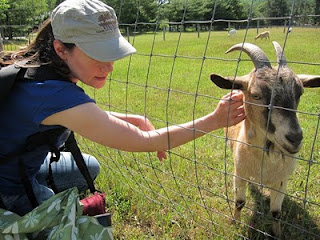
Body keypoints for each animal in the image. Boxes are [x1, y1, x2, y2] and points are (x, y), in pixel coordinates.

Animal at [210, 41, 320, 236]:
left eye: (299, 93)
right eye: (256, 95)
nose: (295, 138)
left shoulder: (281, 181)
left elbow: (276, 212)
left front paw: (276, 233)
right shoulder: (239, 173)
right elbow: (239, 202)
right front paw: (235, 223)